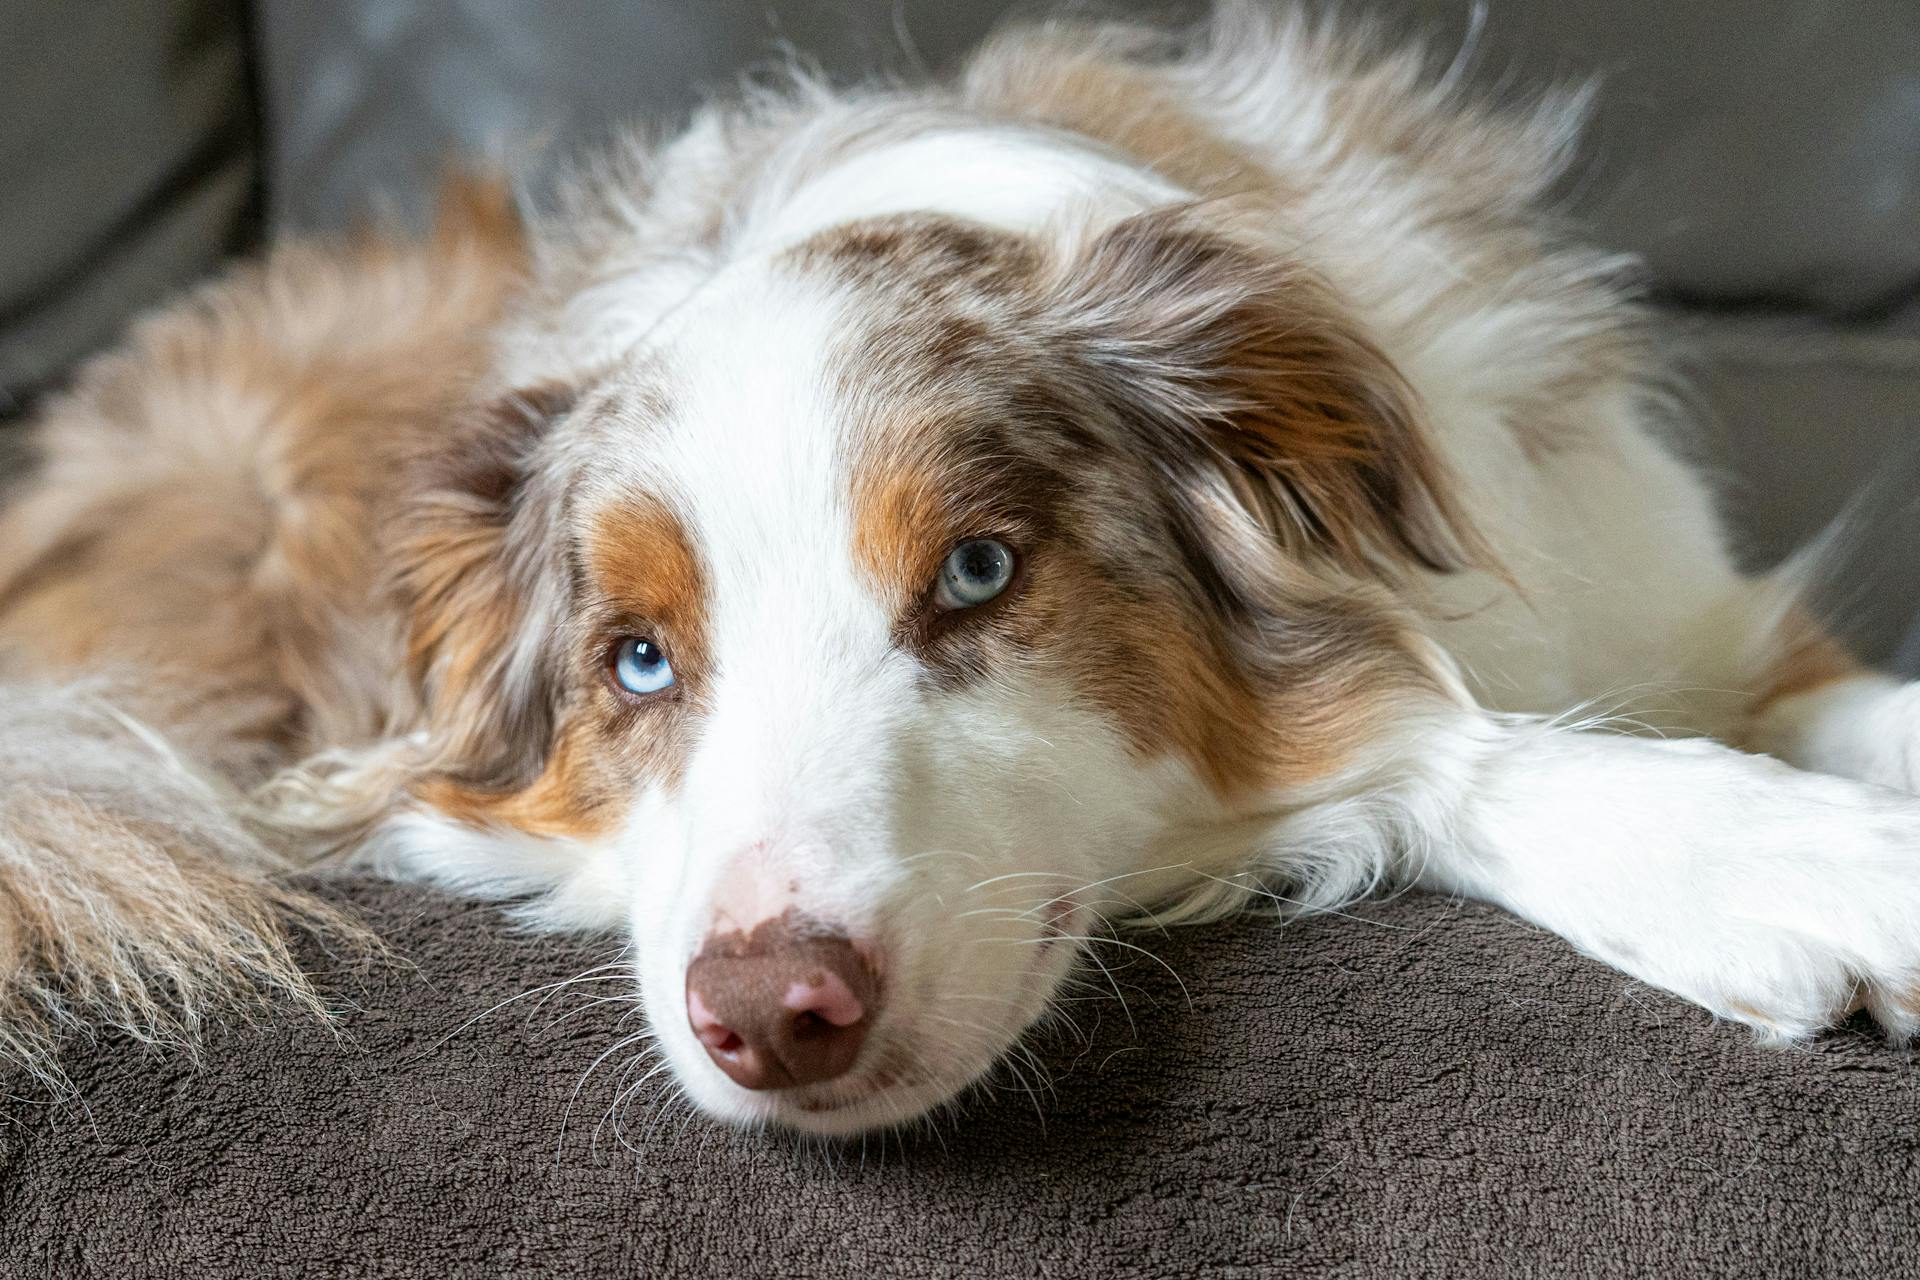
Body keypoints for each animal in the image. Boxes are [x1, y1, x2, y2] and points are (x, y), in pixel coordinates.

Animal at [3, 5, 1920, 1136]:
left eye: (982, 571)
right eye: (637, 660)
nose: (769, 1017)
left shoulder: (1678, 595)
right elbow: (1448, 750)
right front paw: (1784, 860)